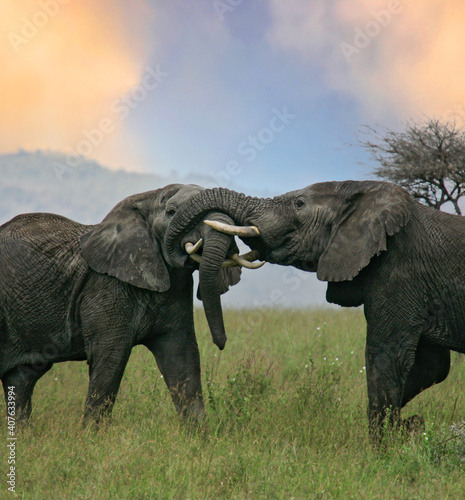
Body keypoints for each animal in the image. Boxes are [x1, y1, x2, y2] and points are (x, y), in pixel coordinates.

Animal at [0, 184, 264, 426]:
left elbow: (182, 357)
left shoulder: (177, 290)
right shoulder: (106, 285)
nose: (222, 343)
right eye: (171, 212)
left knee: (21, 379)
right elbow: (111, 358)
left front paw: (200, 439)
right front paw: (91, 440)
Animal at [164, 182, 464, 440]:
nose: (221, 343)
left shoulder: (400, 272)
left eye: (299, 204)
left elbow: (387, 357)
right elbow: (433, 367)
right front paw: (411, 427)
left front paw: (384, 450)